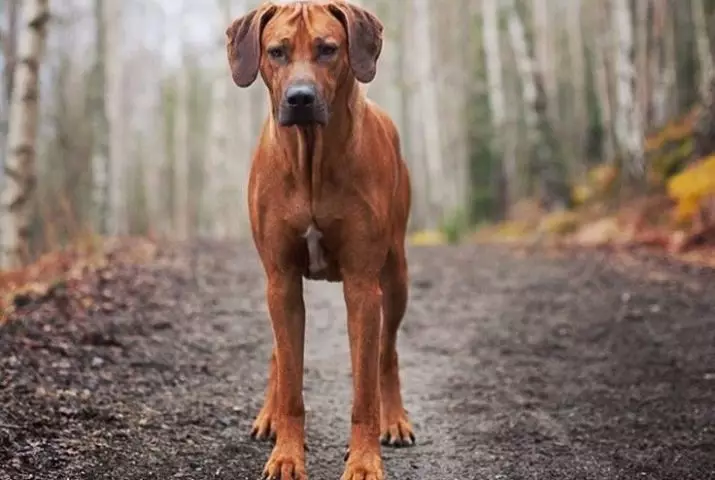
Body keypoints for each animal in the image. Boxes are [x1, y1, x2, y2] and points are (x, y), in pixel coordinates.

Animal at [227, 1, 412, 478]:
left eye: (328, 49)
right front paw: (286, 454)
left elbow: (364, 390)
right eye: (276, 52)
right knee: (278, 354)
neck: (310, 158)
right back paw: (269, 415)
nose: (300, 98)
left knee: (387, 354)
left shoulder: (363, 286)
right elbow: (291, 377)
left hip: (396, 273)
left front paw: (365, 461)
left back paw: (395, 418)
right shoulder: (281, 278)